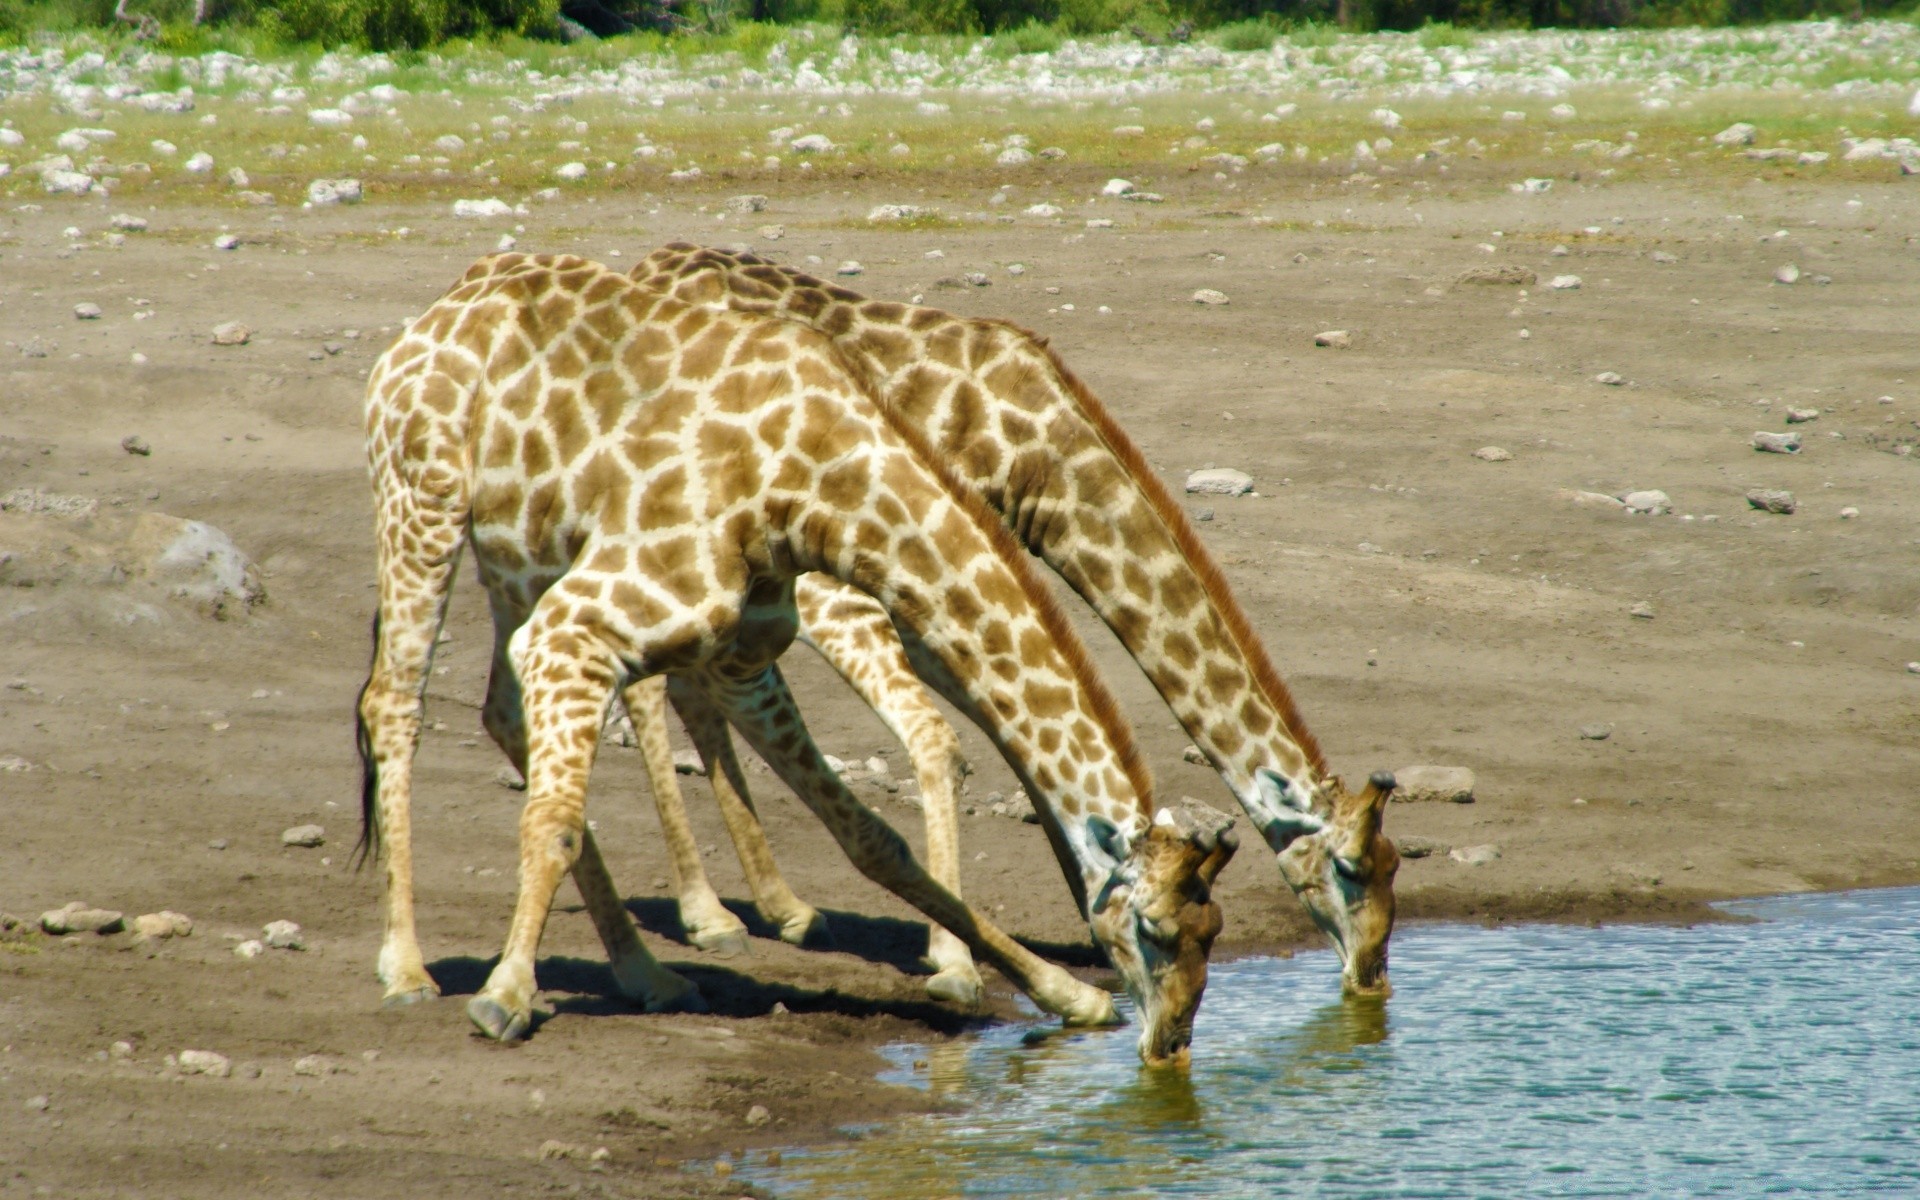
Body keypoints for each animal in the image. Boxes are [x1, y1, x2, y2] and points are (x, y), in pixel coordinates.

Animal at [353, 253, 1236, 1059]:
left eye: (1214, 931)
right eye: (1155, 929)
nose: (1172, 1042)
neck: (817, 483)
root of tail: (434, 313)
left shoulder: (739, 656)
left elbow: (875, 840)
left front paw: (1063, 995)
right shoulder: (580, 625)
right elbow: (557, 820)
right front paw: (505, 994)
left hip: (519, 555)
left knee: (501, 713)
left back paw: (647, 973)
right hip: (422, 504)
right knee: (392, 702)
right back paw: (406, 969)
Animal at [629, 240, 1397, 990]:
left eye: (1394, 867)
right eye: (1351, 868)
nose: (1370, 975)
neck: (1040, 460)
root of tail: (646, 264)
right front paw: (956, 956)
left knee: (686, 682)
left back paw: (777, 908)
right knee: (652, 682)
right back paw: (710, 916)